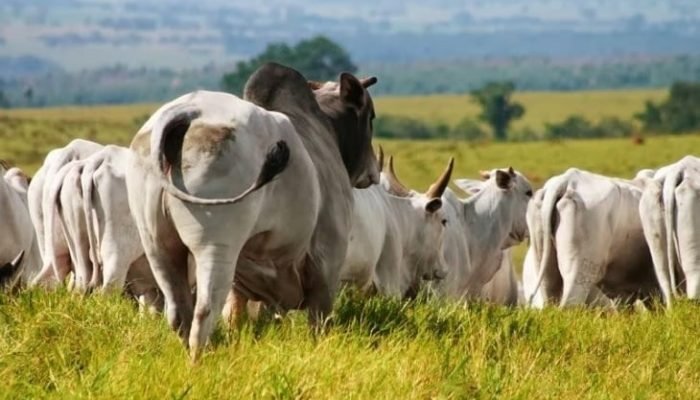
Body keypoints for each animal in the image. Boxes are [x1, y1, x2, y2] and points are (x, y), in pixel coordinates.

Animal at [126, 63, 378, 359]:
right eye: (371, 116)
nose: (373, 171)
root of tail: (187, 112)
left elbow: (235, 316)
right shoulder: (327, 262)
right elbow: (319, 321)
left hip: (157, 245)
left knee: (178, 313)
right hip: (215, 244)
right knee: (204, 311)